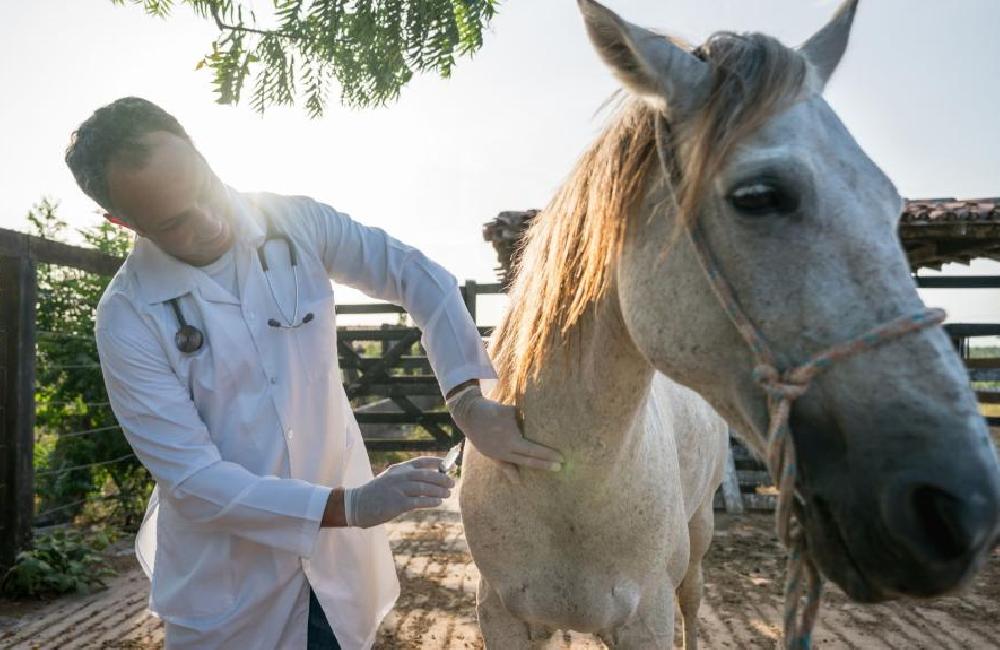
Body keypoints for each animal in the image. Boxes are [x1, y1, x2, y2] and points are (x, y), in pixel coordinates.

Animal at [460, 2, 1000, 644]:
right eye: (758, 195)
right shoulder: (501, 617)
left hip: (696, 547)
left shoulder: (646, 618)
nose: (963, 508)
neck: (563, 482)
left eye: (891, 207)